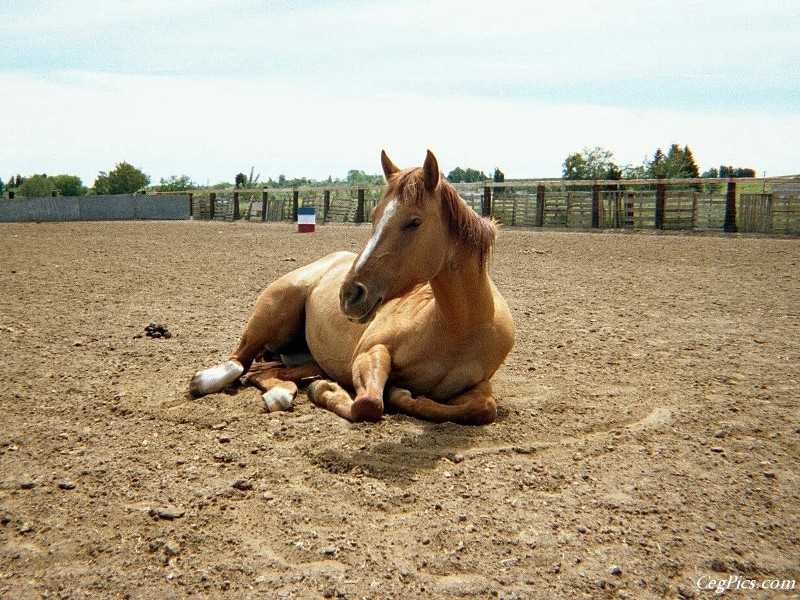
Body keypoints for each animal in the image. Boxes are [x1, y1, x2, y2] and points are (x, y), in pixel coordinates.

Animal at [195, 149, 520, 426]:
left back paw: (283, 391)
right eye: (374, 217)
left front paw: (398, 393)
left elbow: (483, 409)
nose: (349, 294)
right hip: (274, 310)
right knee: (238, 363)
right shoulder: (370, 351)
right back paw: (208, 381)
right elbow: (368, 404)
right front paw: (327, 391)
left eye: (414, 222)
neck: (458, 328)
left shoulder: (479, 386)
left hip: (308, 360)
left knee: (268, 372)